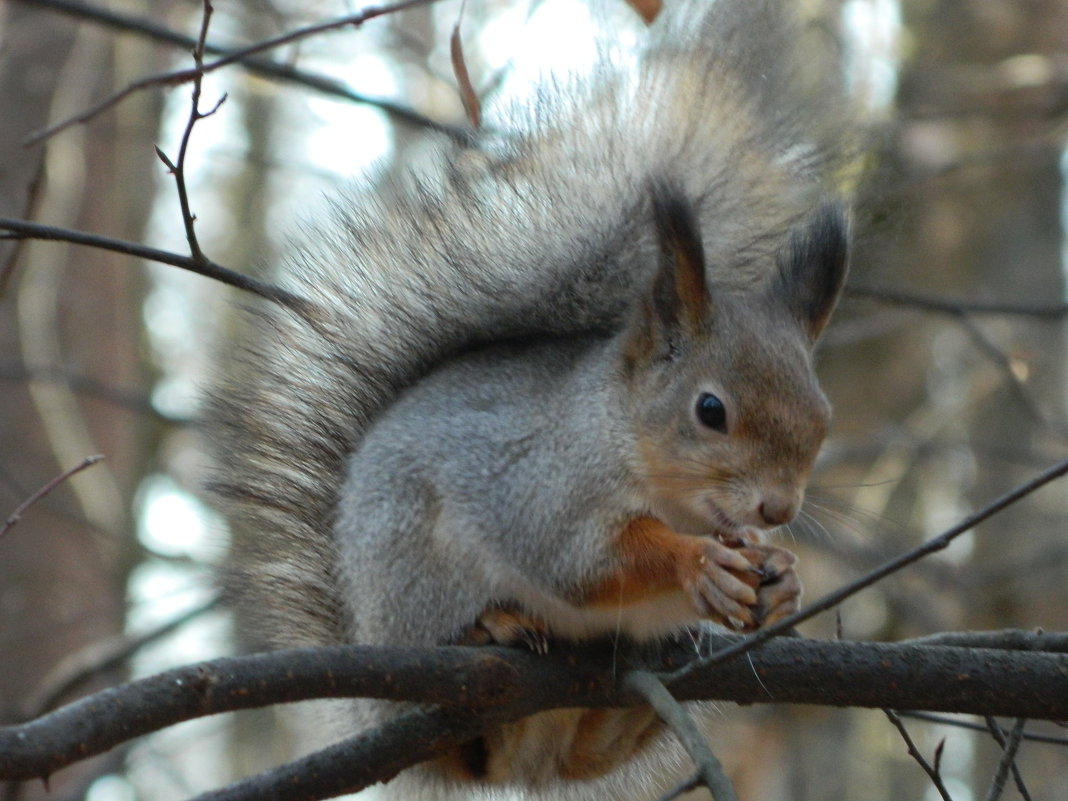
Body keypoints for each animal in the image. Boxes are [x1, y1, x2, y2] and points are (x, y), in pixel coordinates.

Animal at [210, 0, 850, 798]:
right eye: (711, 411)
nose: (778, 508)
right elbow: (582, 561)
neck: (622, 436)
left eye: (823, 419)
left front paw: (781, 579)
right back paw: (495, 626)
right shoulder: (542, 491)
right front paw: (697, 560)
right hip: (417, 582)